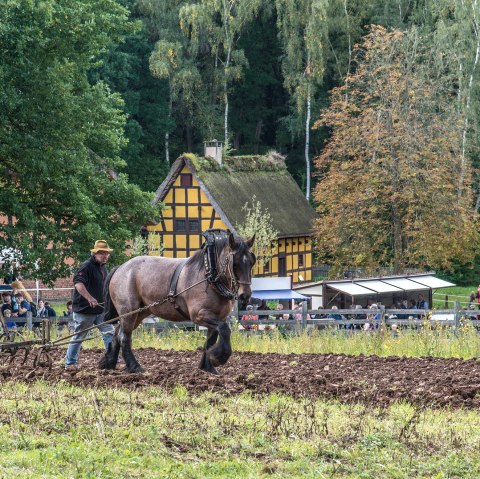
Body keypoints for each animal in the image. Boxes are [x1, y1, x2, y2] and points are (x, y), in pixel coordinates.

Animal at [97, 229, 255, 376]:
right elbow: (224, 329)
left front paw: (207, 367)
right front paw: (218, 358)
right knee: (124, 337)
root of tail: (121, 267)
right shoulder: (199, 315)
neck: (209, 277)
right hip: (128, 311)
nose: (245, 295)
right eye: (235, 263)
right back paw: (134, 366)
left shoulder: (218, 317)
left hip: (139, 313)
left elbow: (211, 340)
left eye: (252, 262)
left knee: (118, 333)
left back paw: (109, 362)